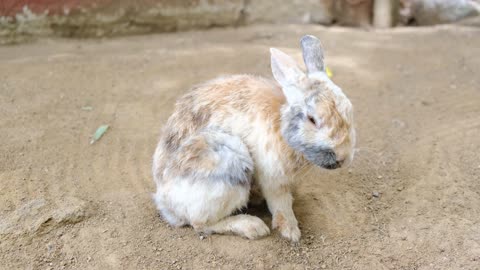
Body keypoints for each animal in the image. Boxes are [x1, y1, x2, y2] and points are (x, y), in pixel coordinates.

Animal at [152, 34, 354, 242]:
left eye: (349, 109)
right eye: (312, 119)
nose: (343, 157)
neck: (281, 123)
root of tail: (165, 202)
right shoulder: (273, 178)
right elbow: (281, 204)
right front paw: (290, 231)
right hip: (227, 162)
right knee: (200, 223)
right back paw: (253, 227)